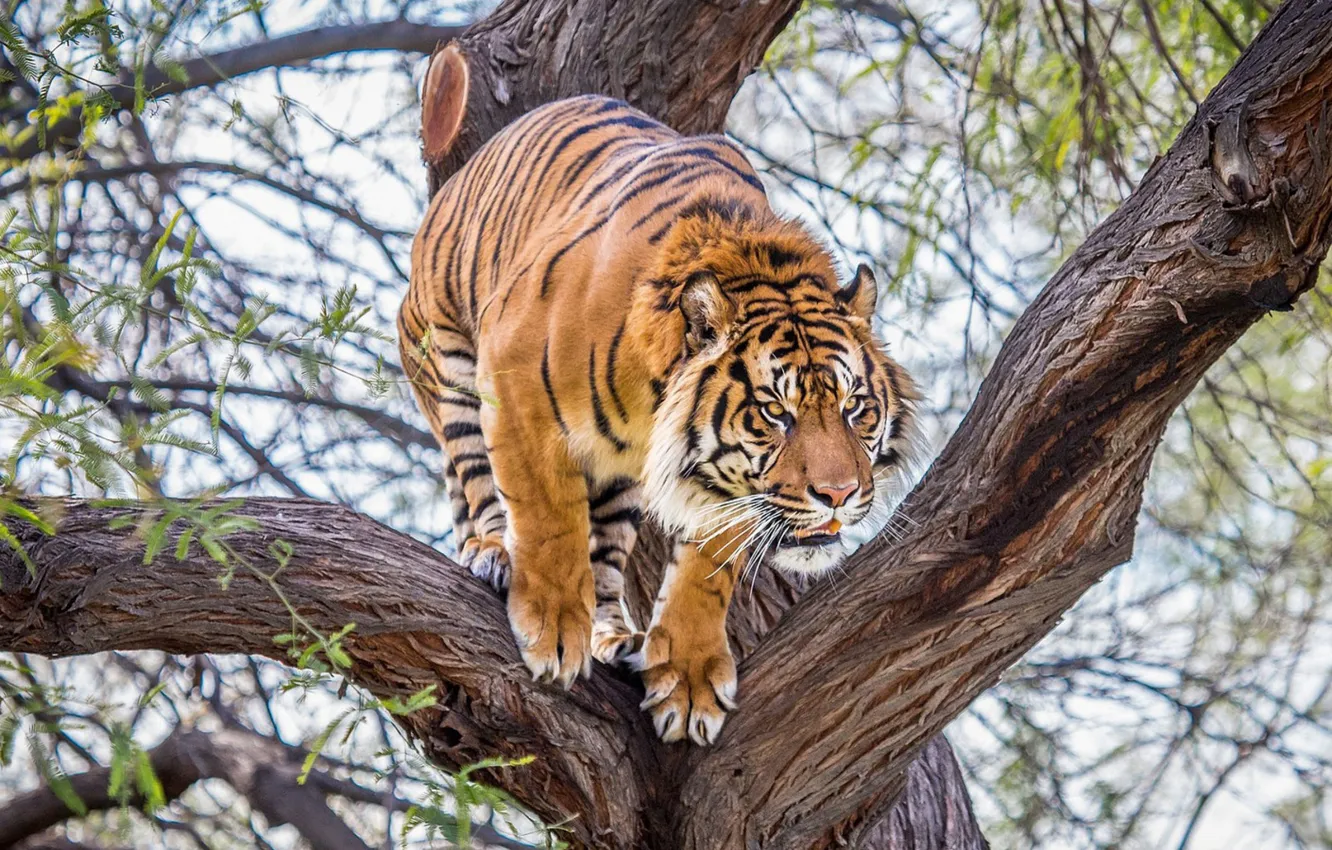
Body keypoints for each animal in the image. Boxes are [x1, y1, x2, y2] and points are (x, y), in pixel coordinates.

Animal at [399, 45, 919, 745]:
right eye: (775, 412)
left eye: (854, 408)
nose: (837, 496)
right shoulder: (513, 380)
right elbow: (546, 514)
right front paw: (553, 628)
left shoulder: (722, 485)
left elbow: (706, 570)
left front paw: (690, 680)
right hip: (445, 355)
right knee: (476, 482)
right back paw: (494, 555)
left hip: (620, 479)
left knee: (604, 554)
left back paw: (613, 634)